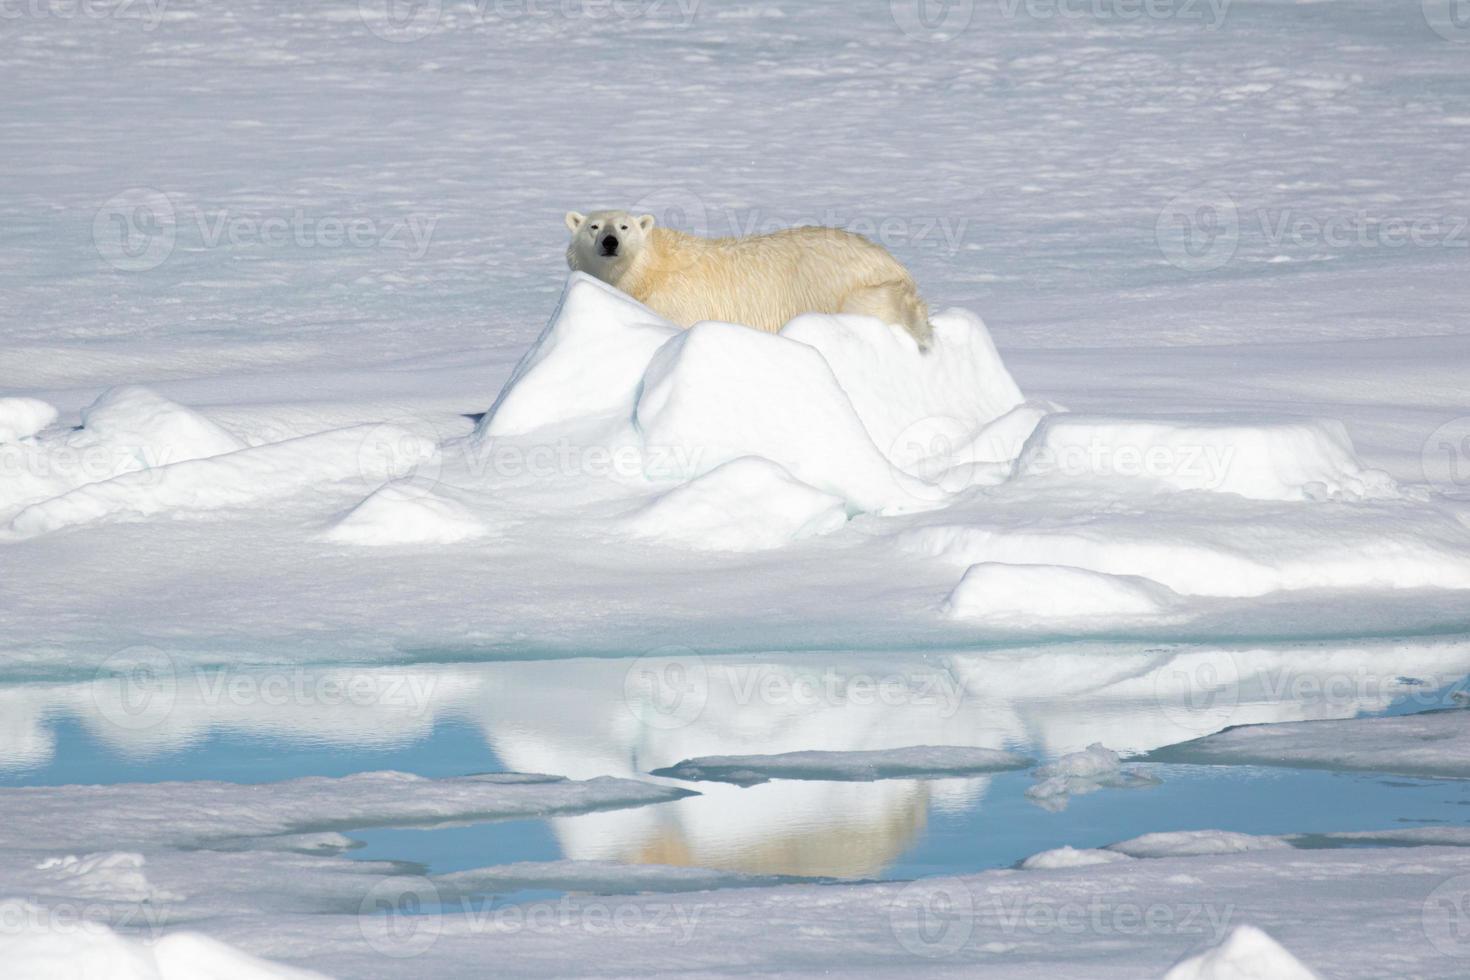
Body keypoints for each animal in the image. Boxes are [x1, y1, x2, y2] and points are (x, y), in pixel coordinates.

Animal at [561, 208, 929, 351]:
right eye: (593, 226)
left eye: (624, 226)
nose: (610, 242)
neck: (650, 271)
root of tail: (894, 264)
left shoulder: (676, 302)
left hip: (849, 288)